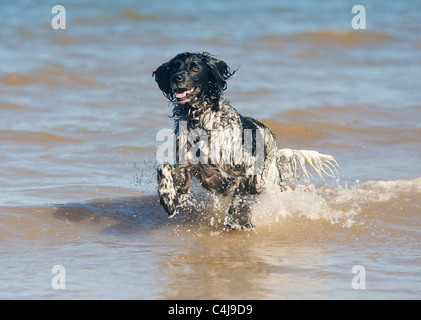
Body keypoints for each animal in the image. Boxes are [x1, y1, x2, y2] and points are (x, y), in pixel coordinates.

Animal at [153, 52, 336, 230]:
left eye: (195, 68)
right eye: (174, 67)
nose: (176, 77)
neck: (201, 122)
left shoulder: (247, 166)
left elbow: (239, 195)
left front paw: (238, 220)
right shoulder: (186, 171)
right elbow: (163, 168)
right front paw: (168, 200)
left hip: (269, 185)